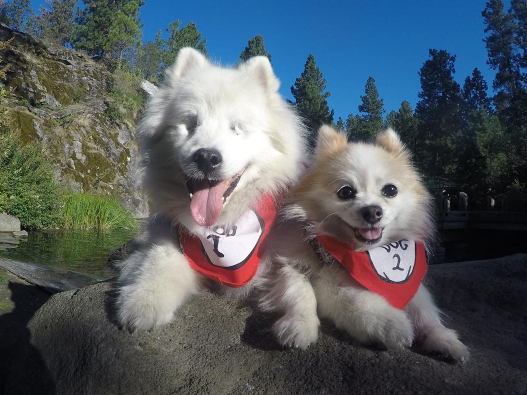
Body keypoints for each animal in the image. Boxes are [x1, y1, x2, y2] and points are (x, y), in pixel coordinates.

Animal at [115, 48, 306, 332]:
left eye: (236, 128)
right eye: (191, 123)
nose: (206, 157)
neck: (221, 225)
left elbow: (297, 280)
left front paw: (301, 324)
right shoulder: (169, 239)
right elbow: (158, 263)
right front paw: (141, 305)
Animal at [262, 125, 472, 364]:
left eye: (390, 190)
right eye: (346, 192)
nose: (372, 211)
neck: (363, 253)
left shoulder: (412, 284)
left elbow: (425, 311)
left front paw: (443, 339)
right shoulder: (292, 266)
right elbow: (305, 292)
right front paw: (393, 325)